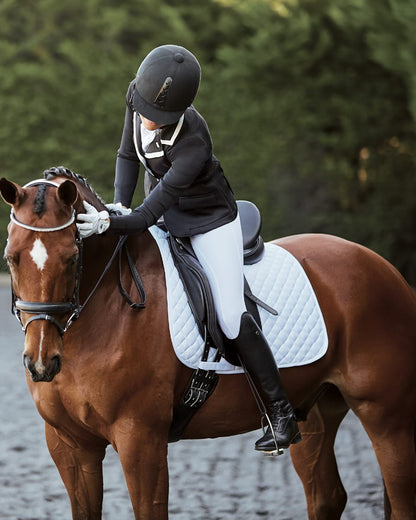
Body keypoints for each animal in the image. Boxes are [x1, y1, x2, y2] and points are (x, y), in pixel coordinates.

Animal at [0, 168, 416, 520]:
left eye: (71, 258)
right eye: (11, 258)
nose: (41, 362)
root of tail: (383, 267)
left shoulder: (141, 440)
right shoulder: (70, 446)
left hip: (386, 416)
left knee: (400, 497)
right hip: (314, 412)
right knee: (327, 495)